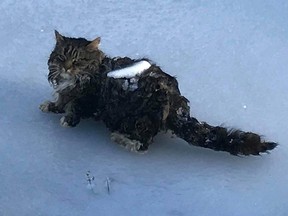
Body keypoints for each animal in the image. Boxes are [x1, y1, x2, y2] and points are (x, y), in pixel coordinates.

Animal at [39, 30, 278, 155]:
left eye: (77, 61)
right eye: (61, 57)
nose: (66, 67)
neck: (74, 80)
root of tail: (177, 107)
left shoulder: (88, 98)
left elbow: (75, 108)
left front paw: (67, 119)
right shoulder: (65, 91)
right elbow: (61, 100)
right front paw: (51, 106)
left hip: (140, 118)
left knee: (143, 145)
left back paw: (121, 139)